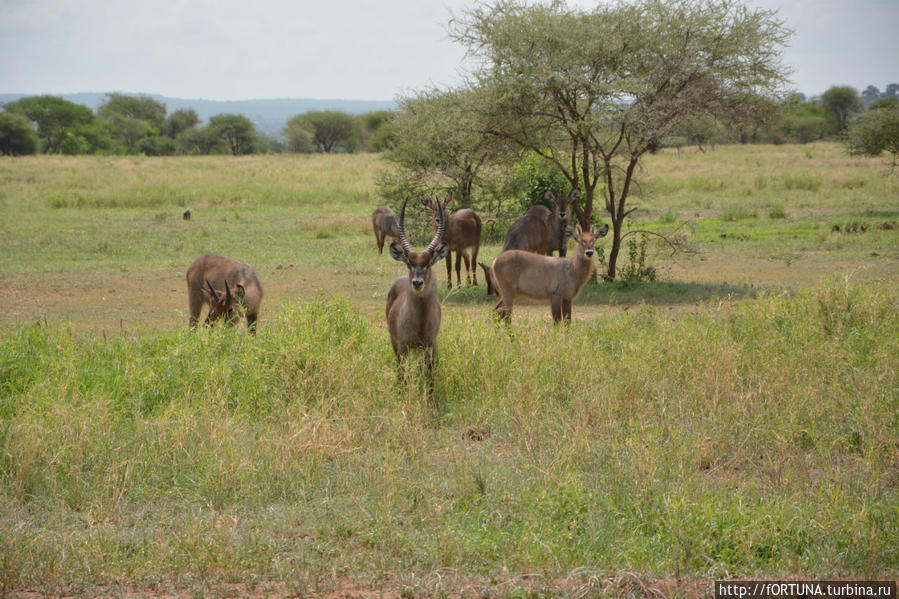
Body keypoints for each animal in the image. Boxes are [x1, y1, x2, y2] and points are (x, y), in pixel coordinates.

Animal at [386, 197, 450, 384]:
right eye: (409, 263)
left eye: (428, 263)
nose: (417, 282)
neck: (420, 320)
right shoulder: (402, 346)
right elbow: (404, 375)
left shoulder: (431, 346)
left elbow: (430, 376)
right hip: (395, 343)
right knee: (400, 370)